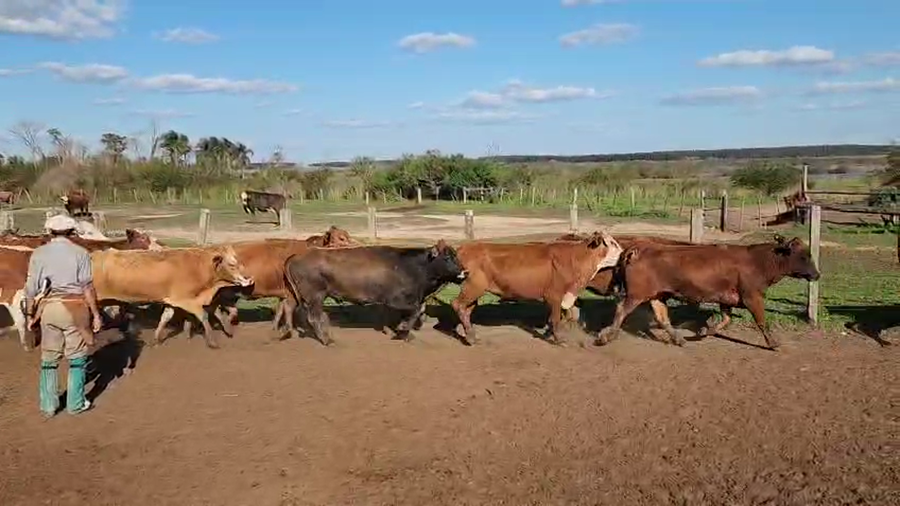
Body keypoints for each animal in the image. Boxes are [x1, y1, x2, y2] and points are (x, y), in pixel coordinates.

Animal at [91, 245, 254, 349]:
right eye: (231, 265)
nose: (249, 278)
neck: (198, 267)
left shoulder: (171, 301)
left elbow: (165, 318)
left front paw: (156, 340)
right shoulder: (187, 300)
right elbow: (204, 316)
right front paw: (213, 342)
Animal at [208, 226, 358, 337]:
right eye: (341, 238)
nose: (357, 247)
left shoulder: (284, 293)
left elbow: (280, 310)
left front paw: (274, 328)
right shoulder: (293, 292)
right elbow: (290, 310)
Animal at [283, 240, 465, 346]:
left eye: (456, 255)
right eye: (447, 258)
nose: (465, 272)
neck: (412, 266)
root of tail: (296, 256)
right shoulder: (397, 300)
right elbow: (415, 311)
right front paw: (402, 331)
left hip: (299, 297)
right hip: (316, 297)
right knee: (313, 318)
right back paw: (327, 340)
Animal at [449, 231, 623, 346]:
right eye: (613, 243)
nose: (624, 253)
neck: (576, 259)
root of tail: (464, 248)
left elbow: (564, 316)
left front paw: (549, 332)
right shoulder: (554, 294)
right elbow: (556, 318)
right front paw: (559, 340)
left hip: (474, 289)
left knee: (466, 309)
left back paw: (470, 335)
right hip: (473, 287)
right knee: (458, 305)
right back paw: (470, 336)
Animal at [597, 234, 820, 351]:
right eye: (804, 256)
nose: (817, 275)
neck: (758, 261)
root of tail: (639, 248)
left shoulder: (726, 299)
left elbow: (726, 319)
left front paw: (705, 331)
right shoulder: (752, 297)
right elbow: (761, 321)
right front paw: (773, 343)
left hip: (657, 295)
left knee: (662, 318)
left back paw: (679, 339)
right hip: (636, 295)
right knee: (621, 310)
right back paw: (605, 336)